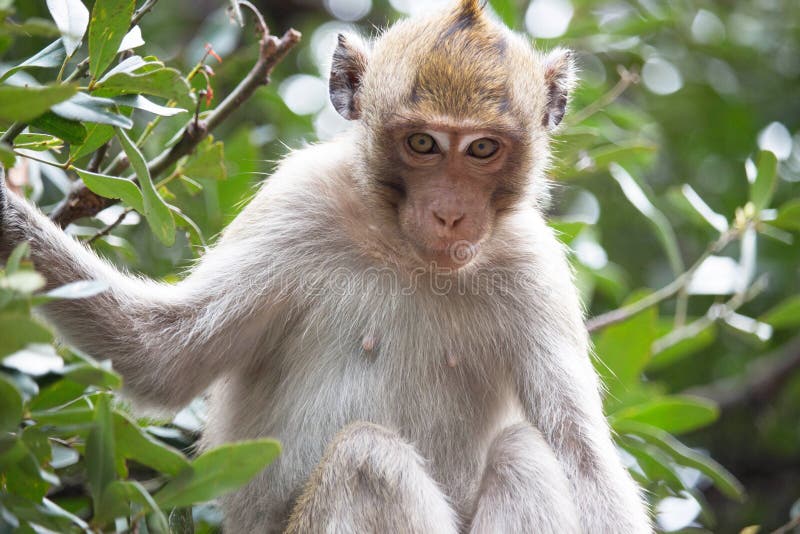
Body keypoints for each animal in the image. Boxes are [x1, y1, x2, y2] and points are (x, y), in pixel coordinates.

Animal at [0, 2, 648, 532]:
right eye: (422, 144)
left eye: (482, 148)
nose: (450, 215)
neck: (406, 252)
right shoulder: (298, 204)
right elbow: (161, 357)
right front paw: (9, 215)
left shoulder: (533, 270)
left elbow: (583, 462)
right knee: (367, 458)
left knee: (525, 453)